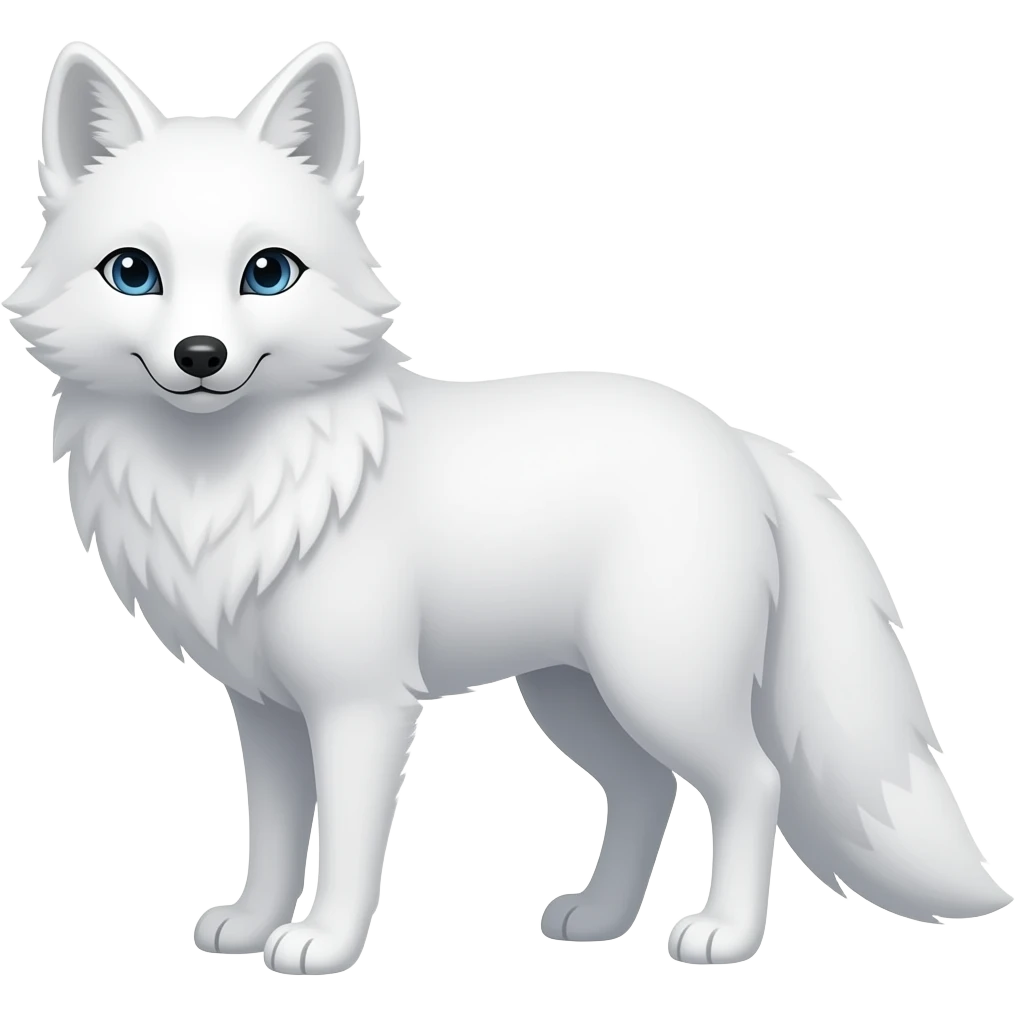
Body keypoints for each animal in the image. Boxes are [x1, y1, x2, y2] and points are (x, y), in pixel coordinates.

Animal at [6, 37, 1010, 975]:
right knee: (645, 790)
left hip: (657, 684)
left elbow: (345, 846)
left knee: (747, 780)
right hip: (575, 695)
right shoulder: (266, 712)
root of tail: (741, 441)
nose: (201, 355)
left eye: (268, 273)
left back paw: (723, 933)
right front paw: (250, 927)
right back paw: (599, 920)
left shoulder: (360, 705)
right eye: (133, 273)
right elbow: (276, 835)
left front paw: (323, 943)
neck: (232, 485)